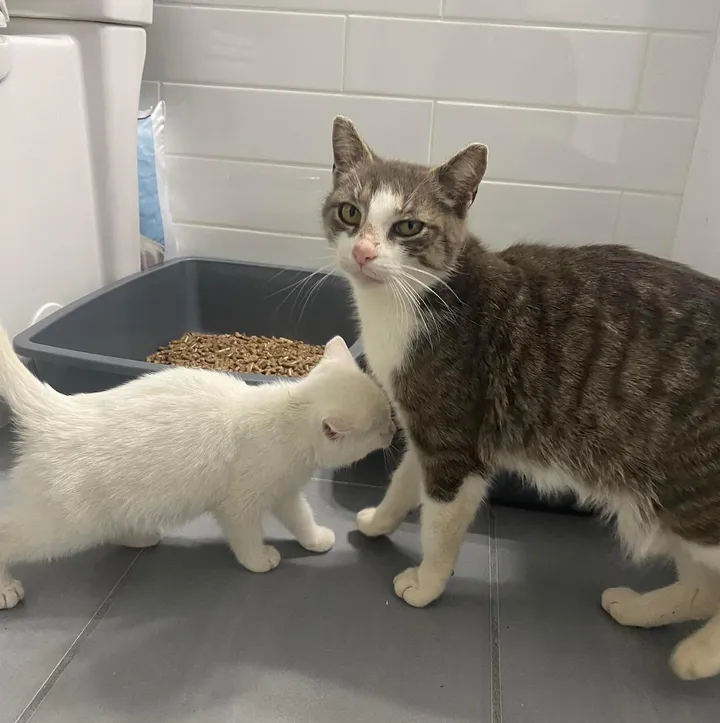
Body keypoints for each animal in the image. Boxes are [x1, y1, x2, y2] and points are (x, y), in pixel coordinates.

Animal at [0, 326, 394, 608]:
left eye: (389, 413)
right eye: (379, 425)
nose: (393, 429)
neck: (286, 417)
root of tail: (61, 410)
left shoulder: (284, 492)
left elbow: (301, 517)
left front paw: (315, 539)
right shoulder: (238, 505)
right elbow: (246, 536)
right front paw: (259, 560)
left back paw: (141, 536)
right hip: (64, 522)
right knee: (8, 533)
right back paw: (5, 589)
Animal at [328, 116, 720, 680]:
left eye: (408, 227)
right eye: (349, 212)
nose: (362, 252)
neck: (411, 303)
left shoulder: (456, 443)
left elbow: (441, 525)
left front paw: (426, 583)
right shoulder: (428, 427)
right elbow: (404, 481)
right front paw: (379, 521)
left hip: (694, 496)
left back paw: (699, 656)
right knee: (704, 588)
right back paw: (641, 611)